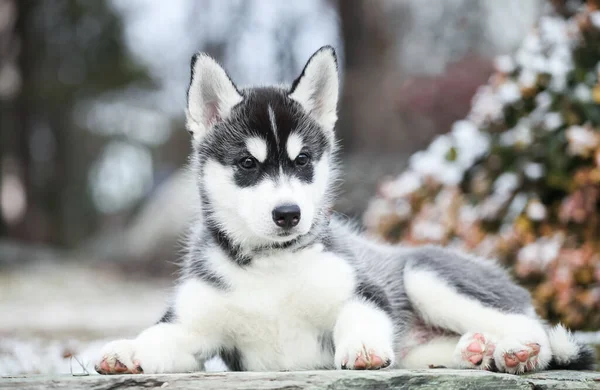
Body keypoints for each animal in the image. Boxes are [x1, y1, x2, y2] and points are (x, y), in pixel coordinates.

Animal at [95, 46, 596, 378]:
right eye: (247, 164)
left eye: (302, 161)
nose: (288, 214)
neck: (270, 267)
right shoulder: (194, 327)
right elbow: (158, 339)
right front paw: (126, 351)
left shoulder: (363, 287)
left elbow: (362, 314)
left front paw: (362, 347)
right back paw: (476, 350)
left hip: (425, 275)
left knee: (529, 324)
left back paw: (517, 350)